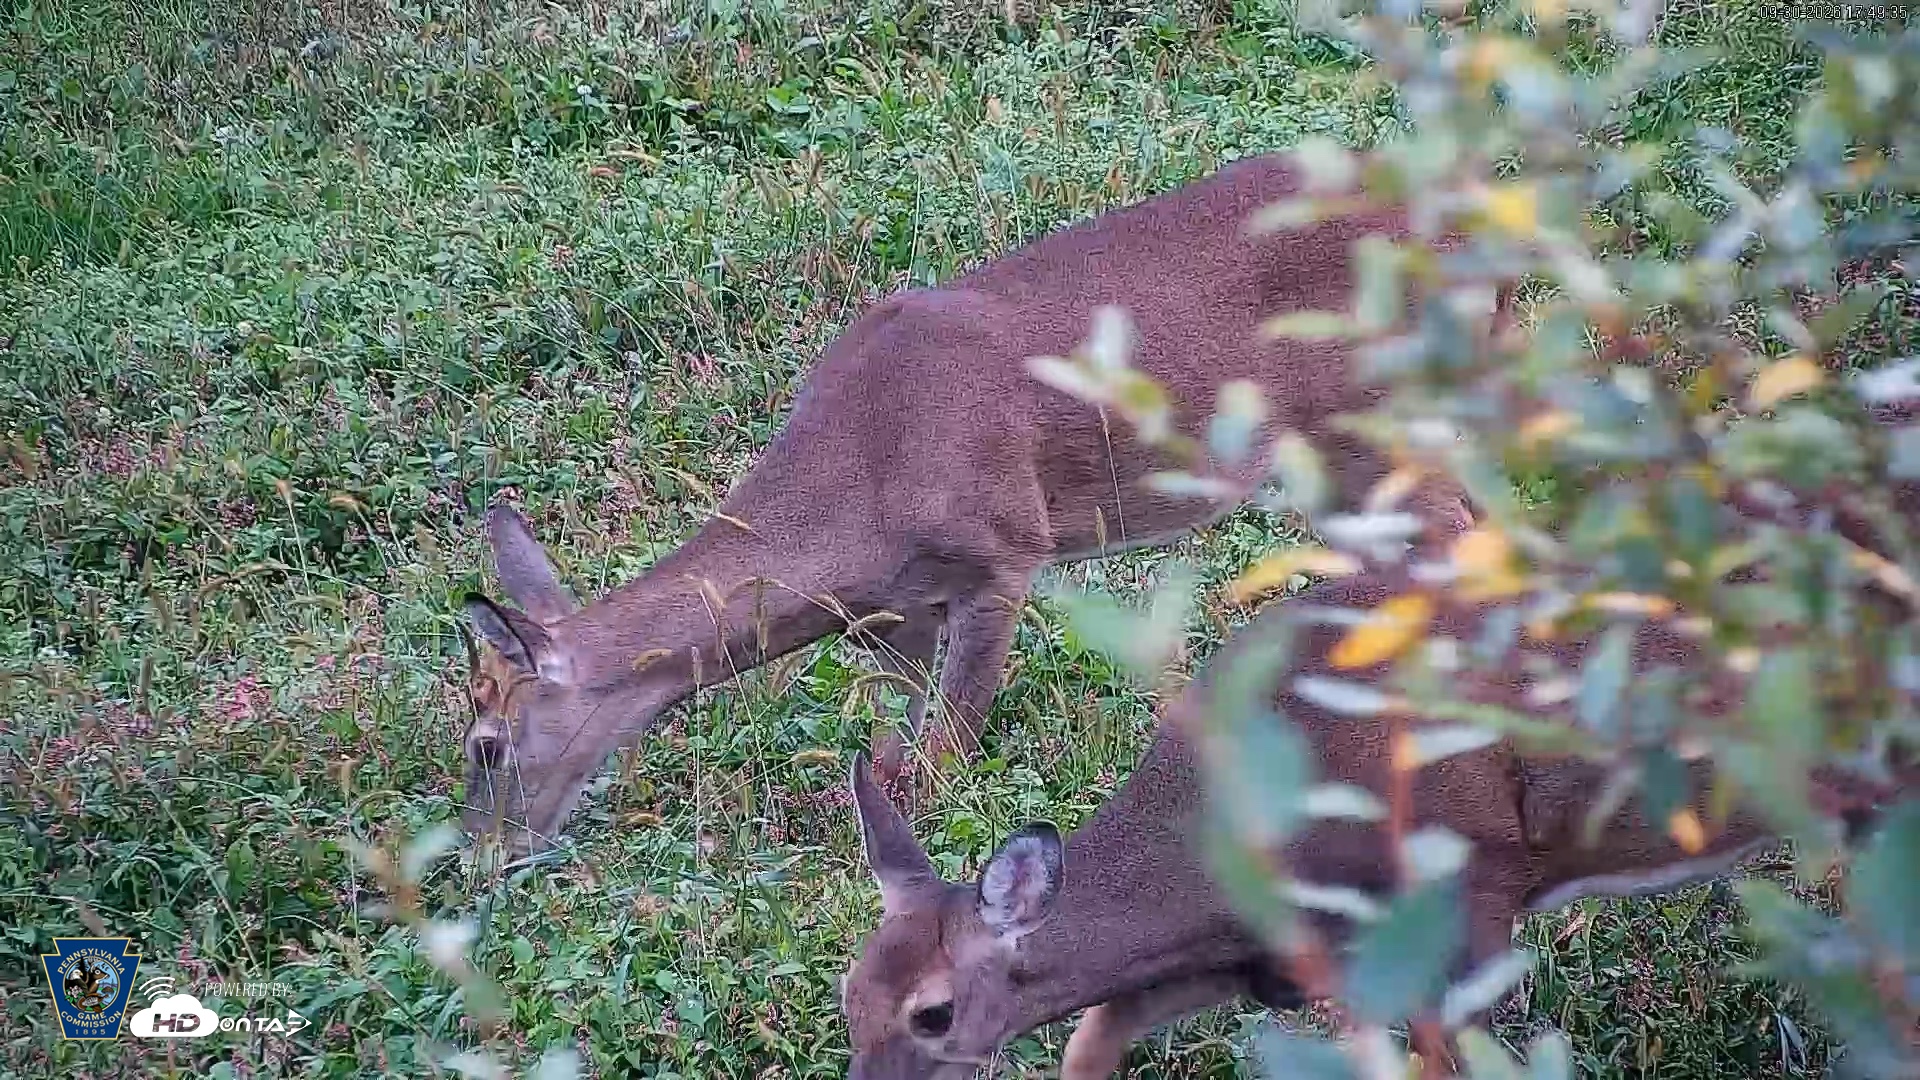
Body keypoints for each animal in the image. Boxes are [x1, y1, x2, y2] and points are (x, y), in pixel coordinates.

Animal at [458, 151, 1501, 854]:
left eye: (485, 745)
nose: (479, 859)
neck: (854, 492)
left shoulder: (1004, 551)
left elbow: (948, 763)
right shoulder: (893, 616)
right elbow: (891, 760)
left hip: (1371, 419)